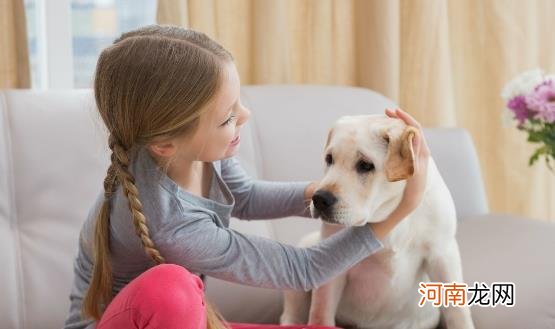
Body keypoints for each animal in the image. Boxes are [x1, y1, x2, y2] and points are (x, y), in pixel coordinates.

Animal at [280, 114, 476, 328]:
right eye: (329, 159)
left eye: (365, 165)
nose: (319, 199)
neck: (388, 211)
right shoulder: (328, 261)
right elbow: (320, 313)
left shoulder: (443, 253)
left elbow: (458, 311)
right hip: (305, 248)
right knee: (291, 313)